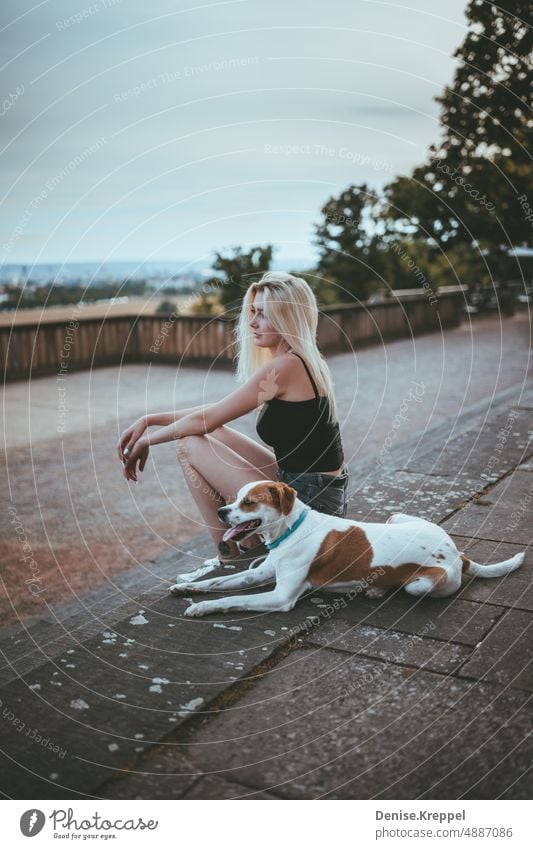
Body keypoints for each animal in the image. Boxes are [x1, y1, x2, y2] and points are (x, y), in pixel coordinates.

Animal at [169, 476, 524, 616]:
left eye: (249, 502)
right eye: (235, 498)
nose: (221, 512)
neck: (291, 530)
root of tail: (458, 552)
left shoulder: (281, 597)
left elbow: (232, 598)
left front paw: (203, 608)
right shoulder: (260, 574)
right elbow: (220, 582)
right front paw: (188, 591)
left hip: (422, 584)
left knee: (410, 585)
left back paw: (377, 588)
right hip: (396, 517)